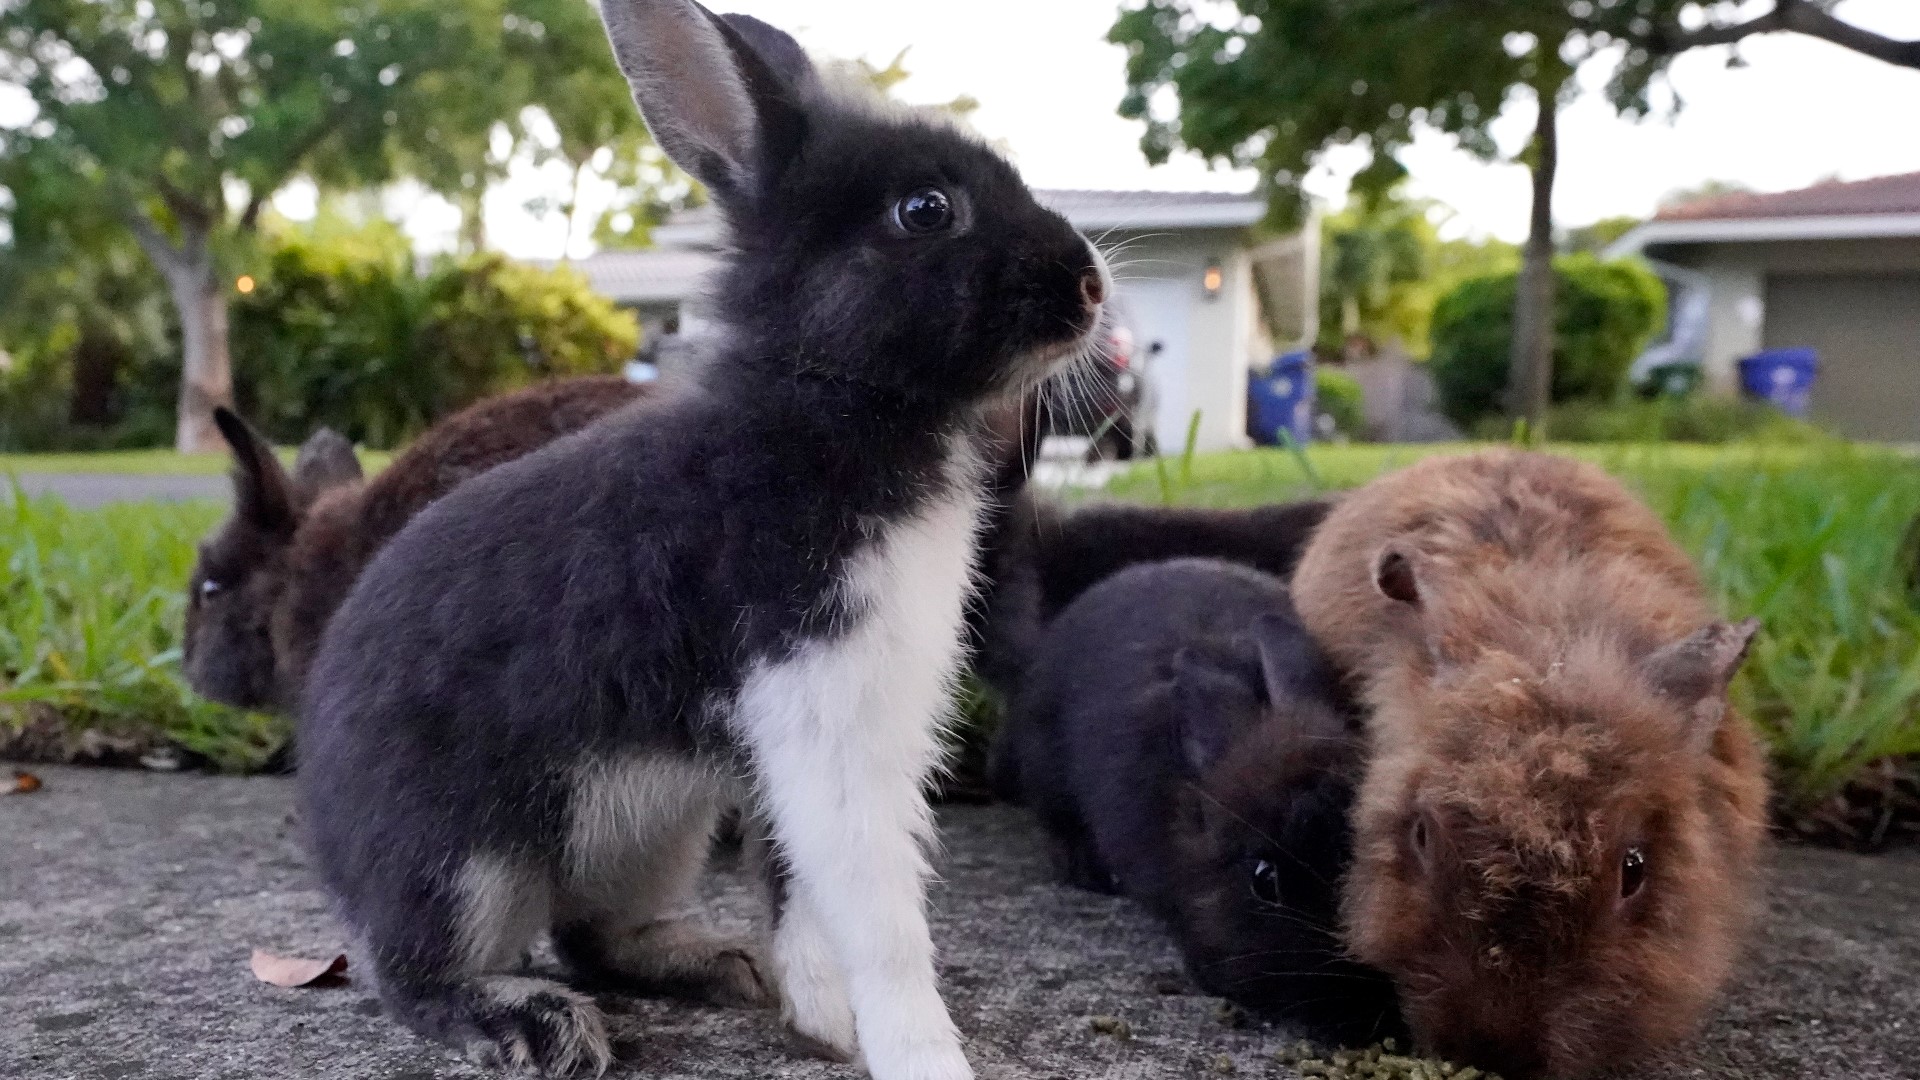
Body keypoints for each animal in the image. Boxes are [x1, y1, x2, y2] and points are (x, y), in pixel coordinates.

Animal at [297, 4, 1113, 1068]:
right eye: (926, 210)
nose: (1090, 286)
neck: (830, 401)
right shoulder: (822, 708)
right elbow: (879, 918)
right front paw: (920, 1056)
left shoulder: (797, 741)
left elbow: (802, 890)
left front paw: (824, 1021)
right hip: (463, 862)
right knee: (418, 975)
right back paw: (536, 1023)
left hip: (654, 828)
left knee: (593, 934)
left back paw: (720, 967)